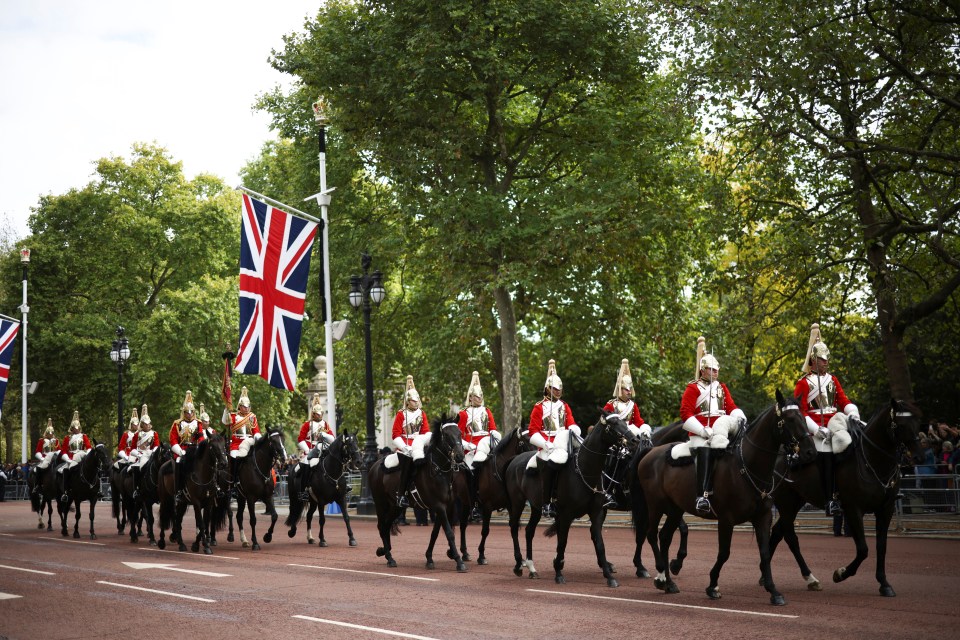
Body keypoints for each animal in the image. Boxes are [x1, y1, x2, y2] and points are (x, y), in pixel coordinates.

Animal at [232, 424, 284, 552]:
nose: (283, 457)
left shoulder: (268, 496)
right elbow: (253, 520)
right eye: (273, 441)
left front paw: (267, 536)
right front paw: (255, 543)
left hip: (241, 498)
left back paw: (244, 541)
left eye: (283, 439)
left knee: (239, 517)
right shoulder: (251, 498)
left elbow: (274, 516)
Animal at [370, 420, 466, 568]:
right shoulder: (439, 506)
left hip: (396, 507)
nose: (460, 456)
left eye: (460, 433)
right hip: (381, 504)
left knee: (386, 526)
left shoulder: (445, 507)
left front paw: (430, 558)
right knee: (381, 526)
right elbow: (449, 533)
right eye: (446, 435)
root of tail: (375, 465)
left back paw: (385, 552)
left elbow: (435, 533)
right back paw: (389, 557)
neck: (439, 472)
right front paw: (458, 560)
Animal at [502, 412, 636, 588]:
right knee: (513, 528)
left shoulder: (596, 512)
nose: (634, 440)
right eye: (612, 424)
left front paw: (609, 576)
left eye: (624, 422)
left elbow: (599, 543)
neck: (585, 470)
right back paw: (519, 564)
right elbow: (562, 542)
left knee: (529, 531)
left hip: (536, 507)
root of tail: (514, 459)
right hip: (517, 502)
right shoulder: (566, 514)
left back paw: (531, 568)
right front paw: (558, 572)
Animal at [636, 390, 816, 604]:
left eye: (803, 417)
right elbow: (724, 553)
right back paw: (661, 576)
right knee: (651, 534)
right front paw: (712, 585)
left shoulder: (763, 517)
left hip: (675, 508)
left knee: (664, 537)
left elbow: (764, 553)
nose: (810, 452)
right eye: (789, 419)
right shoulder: (726, 520)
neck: (747, 465)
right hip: (655, 506)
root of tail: (652, 451)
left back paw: (669, 582)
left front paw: (773, 591)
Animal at [764, 398, 924, 596]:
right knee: (789, 537)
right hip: (786, 503)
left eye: (917, 422)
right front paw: (841, 573)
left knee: (778, 532)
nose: (919, 457)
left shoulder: (885, 509)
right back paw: (806, 577)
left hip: (796, 502)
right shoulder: (853, 509)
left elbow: (881, 546)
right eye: (901, 425)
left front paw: (884, 583)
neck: (871, 460)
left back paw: (768, 575)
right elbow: (863, 549)